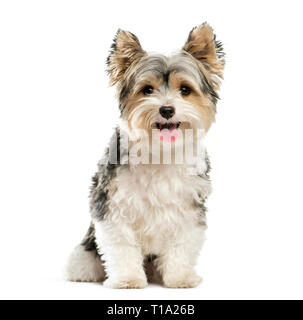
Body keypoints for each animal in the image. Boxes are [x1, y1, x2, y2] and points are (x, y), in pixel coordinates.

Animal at [65, 21, 224, 288]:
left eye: (185, 90)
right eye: (147, 90)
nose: (167, 109)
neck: (160, 150)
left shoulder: (189, 208)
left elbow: (182, 245)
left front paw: (180, 278)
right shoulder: (112, 206)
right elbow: (122, 247)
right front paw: (128, 279)